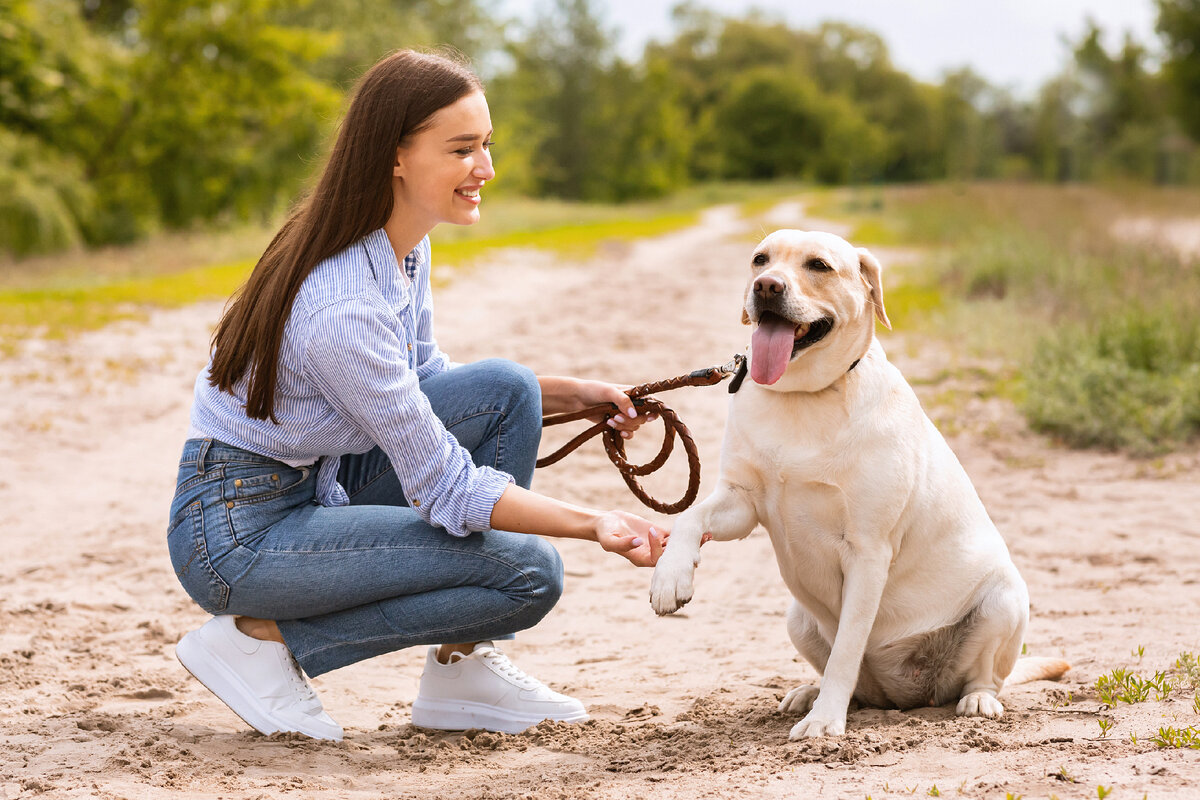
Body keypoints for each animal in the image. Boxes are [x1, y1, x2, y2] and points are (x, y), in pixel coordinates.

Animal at [652, 230, 1075, 738]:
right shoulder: (742, 503)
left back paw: (976, 701)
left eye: (818, 265)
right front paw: (670, 578)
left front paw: (823, 724)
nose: (767, 286)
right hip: (798, 619)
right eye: (760, 260)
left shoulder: (868, 551)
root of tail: (907, 695)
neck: (803, 394)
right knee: (856, 683)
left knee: (986, 676)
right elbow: (689, 516)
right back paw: (810, 694)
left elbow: (847, 651)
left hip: (1005, 600)